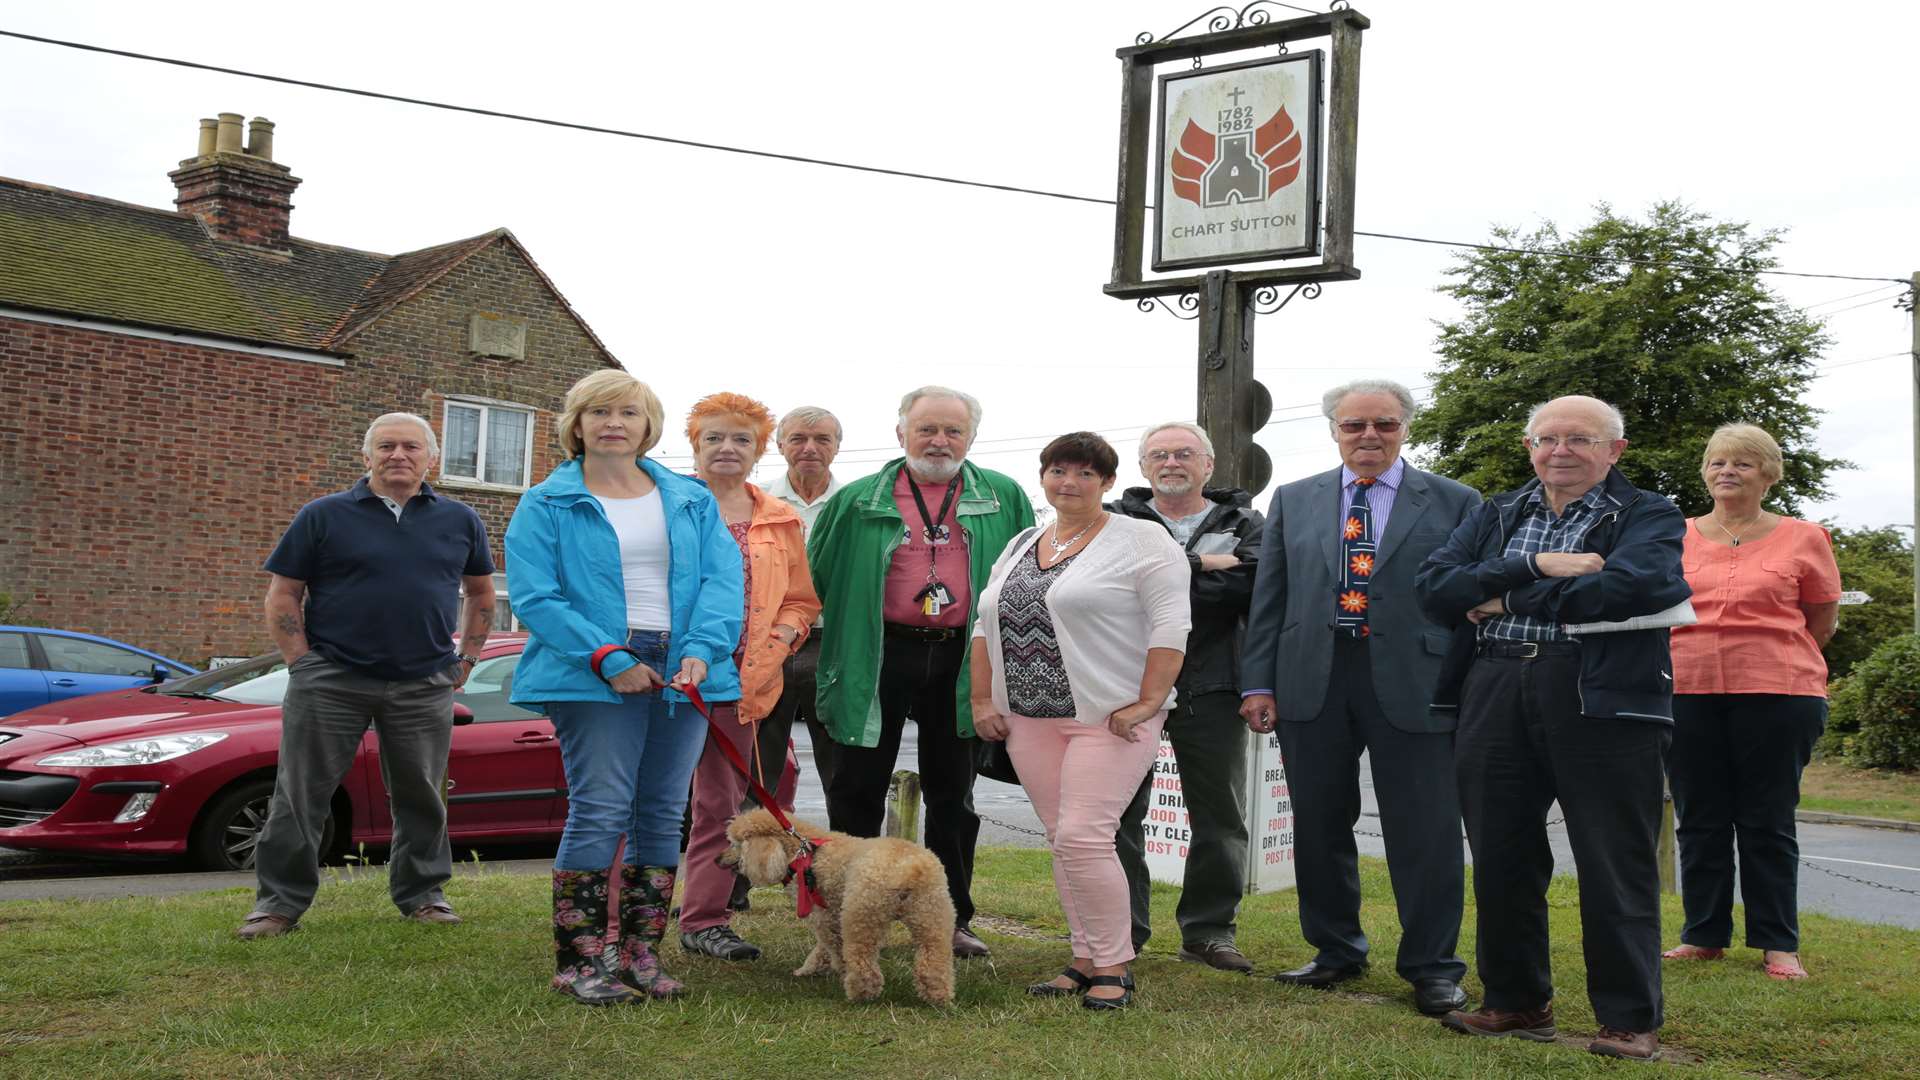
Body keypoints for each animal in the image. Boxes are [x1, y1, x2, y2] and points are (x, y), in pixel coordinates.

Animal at [721, 803, 960, 1006]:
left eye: (734, 844)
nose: (717, 859)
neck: (802, 851)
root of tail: (909, 869)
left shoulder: (824, 916)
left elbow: (832, 945)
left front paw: (824, 969)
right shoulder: (832, 913)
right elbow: (824, 948)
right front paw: (812, 968)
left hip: (862, 914)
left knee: (863, 961)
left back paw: (860, 993)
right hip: (932, 913)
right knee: (934, 958)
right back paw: (938, 995)